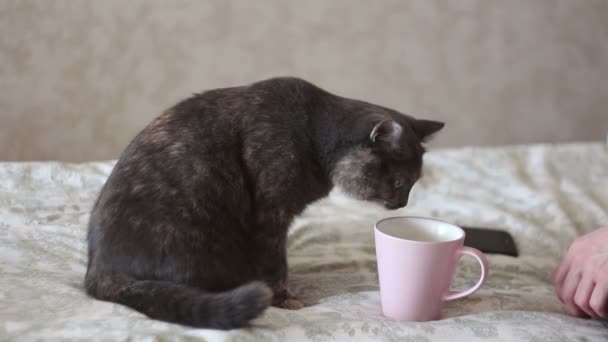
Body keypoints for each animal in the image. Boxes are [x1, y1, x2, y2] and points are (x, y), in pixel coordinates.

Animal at [83, 77, 444, 328]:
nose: (401, 204)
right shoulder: (271, 215)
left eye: (414, 182)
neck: (315, 134)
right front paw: (286, 299)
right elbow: (275, 263)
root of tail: (100, 273)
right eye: (399, 182)